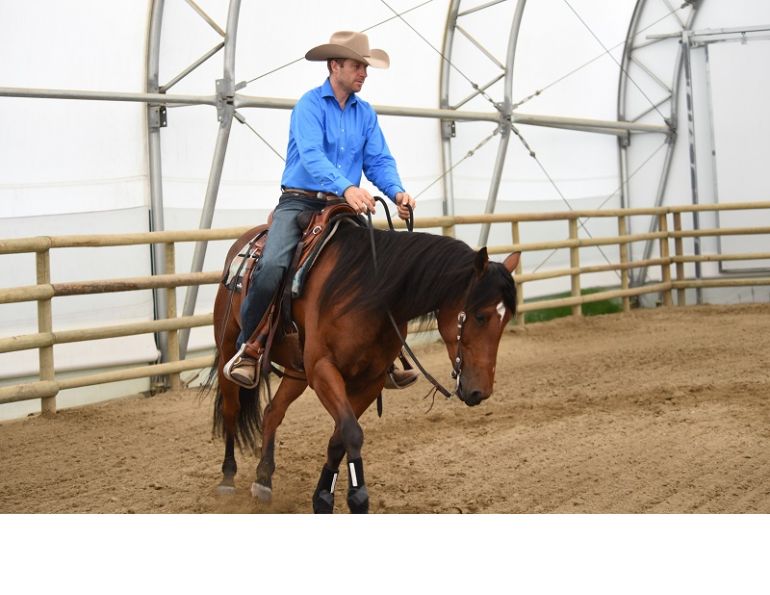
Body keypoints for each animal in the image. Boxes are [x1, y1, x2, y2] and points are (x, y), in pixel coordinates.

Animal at [209, 209, 520, 513]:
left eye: (505, 320)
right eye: (480, 316)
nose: (480, 391)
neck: (368, 293)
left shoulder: (370, 380)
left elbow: (339, 438)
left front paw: (323, 496)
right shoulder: (323, 370)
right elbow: (351, 432)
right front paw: (357, 497)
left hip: (297, 370)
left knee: (273, 411)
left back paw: (263, 480)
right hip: (229, 348)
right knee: (232, 410)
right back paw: (227, 479)